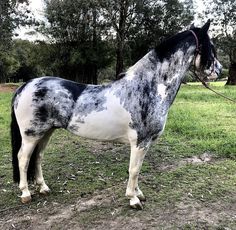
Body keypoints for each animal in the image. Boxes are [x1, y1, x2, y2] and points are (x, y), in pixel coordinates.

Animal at [10, 20, 221, 209]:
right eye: (211, 46)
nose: (219, 70)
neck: (147, 87)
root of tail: (25, 86)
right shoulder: (140, 142)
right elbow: (134, 170)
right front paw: (133, 199)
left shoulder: (145, 143)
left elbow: (138, 169)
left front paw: (138, 194)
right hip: (31, 135)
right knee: (23, 159)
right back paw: (26, 193)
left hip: (46, 132)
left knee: (37, 158)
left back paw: (43, 188)